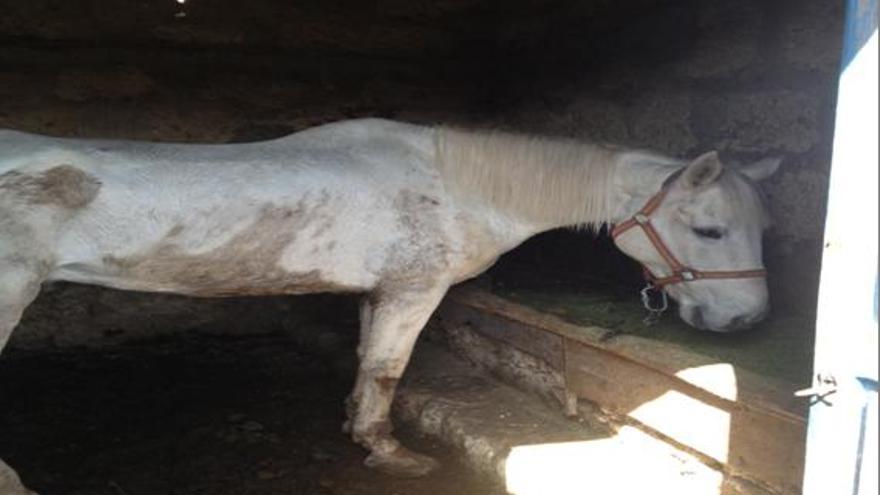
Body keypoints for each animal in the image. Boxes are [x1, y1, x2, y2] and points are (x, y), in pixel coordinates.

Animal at [0, 117, 776, 492]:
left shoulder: (382, 292)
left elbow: (366, 365)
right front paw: (392, 453)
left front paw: (358, 430)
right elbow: (387, 369)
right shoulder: (414, 291)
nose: (745, 322)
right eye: (710, 230)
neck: (457, 186)